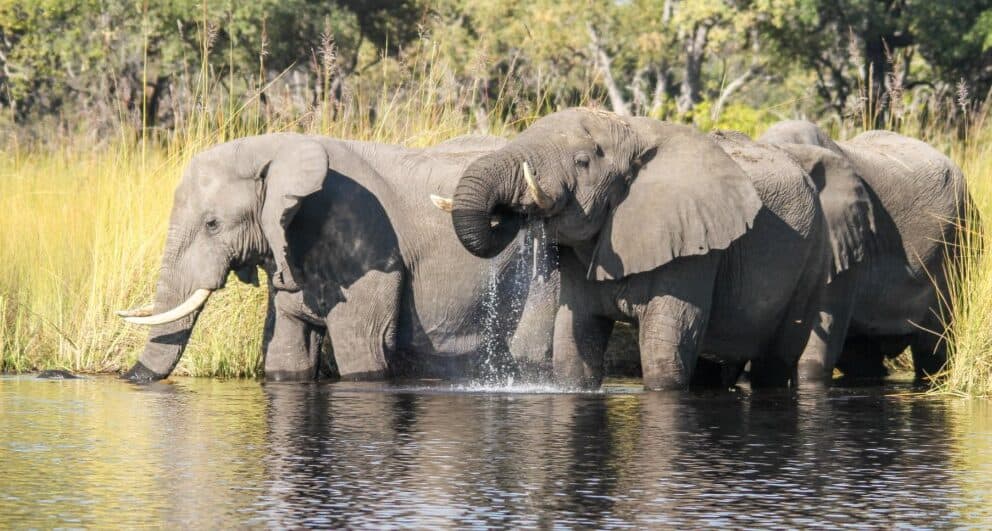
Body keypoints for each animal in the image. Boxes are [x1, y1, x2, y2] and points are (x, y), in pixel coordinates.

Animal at [117, 133, 558, 382]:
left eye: (212, 224)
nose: (127, 377)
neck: (279, 149)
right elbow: (286, 349)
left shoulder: (364, 241)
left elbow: (360, 346)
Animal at [438, 108, 830, 390]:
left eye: (582, 162)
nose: (513, 210)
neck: (632, 131)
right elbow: (574, 348)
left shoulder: (695, 246)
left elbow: (664, 355)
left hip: (813, 260)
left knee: (775, 362)